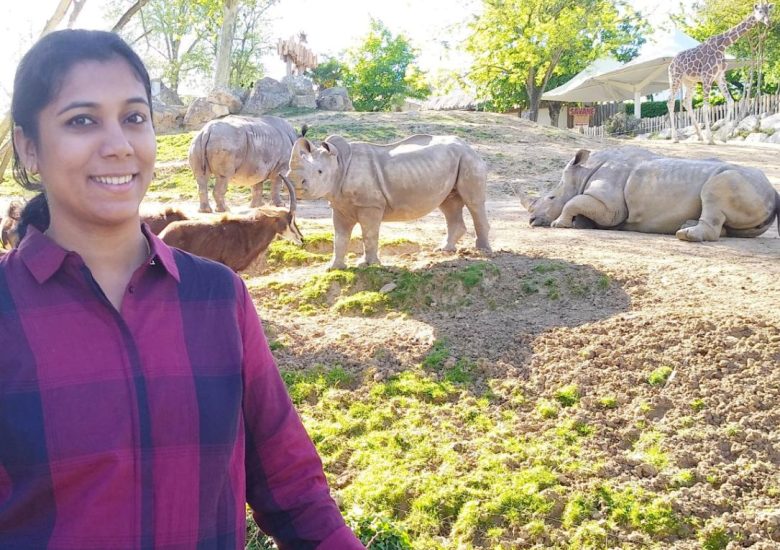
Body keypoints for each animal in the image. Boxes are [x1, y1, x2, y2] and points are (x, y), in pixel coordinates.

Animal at [668, 2, 772, 144]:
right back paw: (675, 138)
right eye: (760, 11)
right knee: (671, 102)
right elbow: (706, 107)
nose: (768, 22)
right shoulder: (707, 76)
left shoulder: (719, 76)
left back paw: (699, 136)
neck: (723, 45)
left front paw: (723, 137)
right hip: (675, 78)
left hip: (690, 82)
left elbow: (730, 102)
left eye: (769, 11)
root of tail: (670, 64)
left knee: (686, 102)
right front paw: (710, 139)